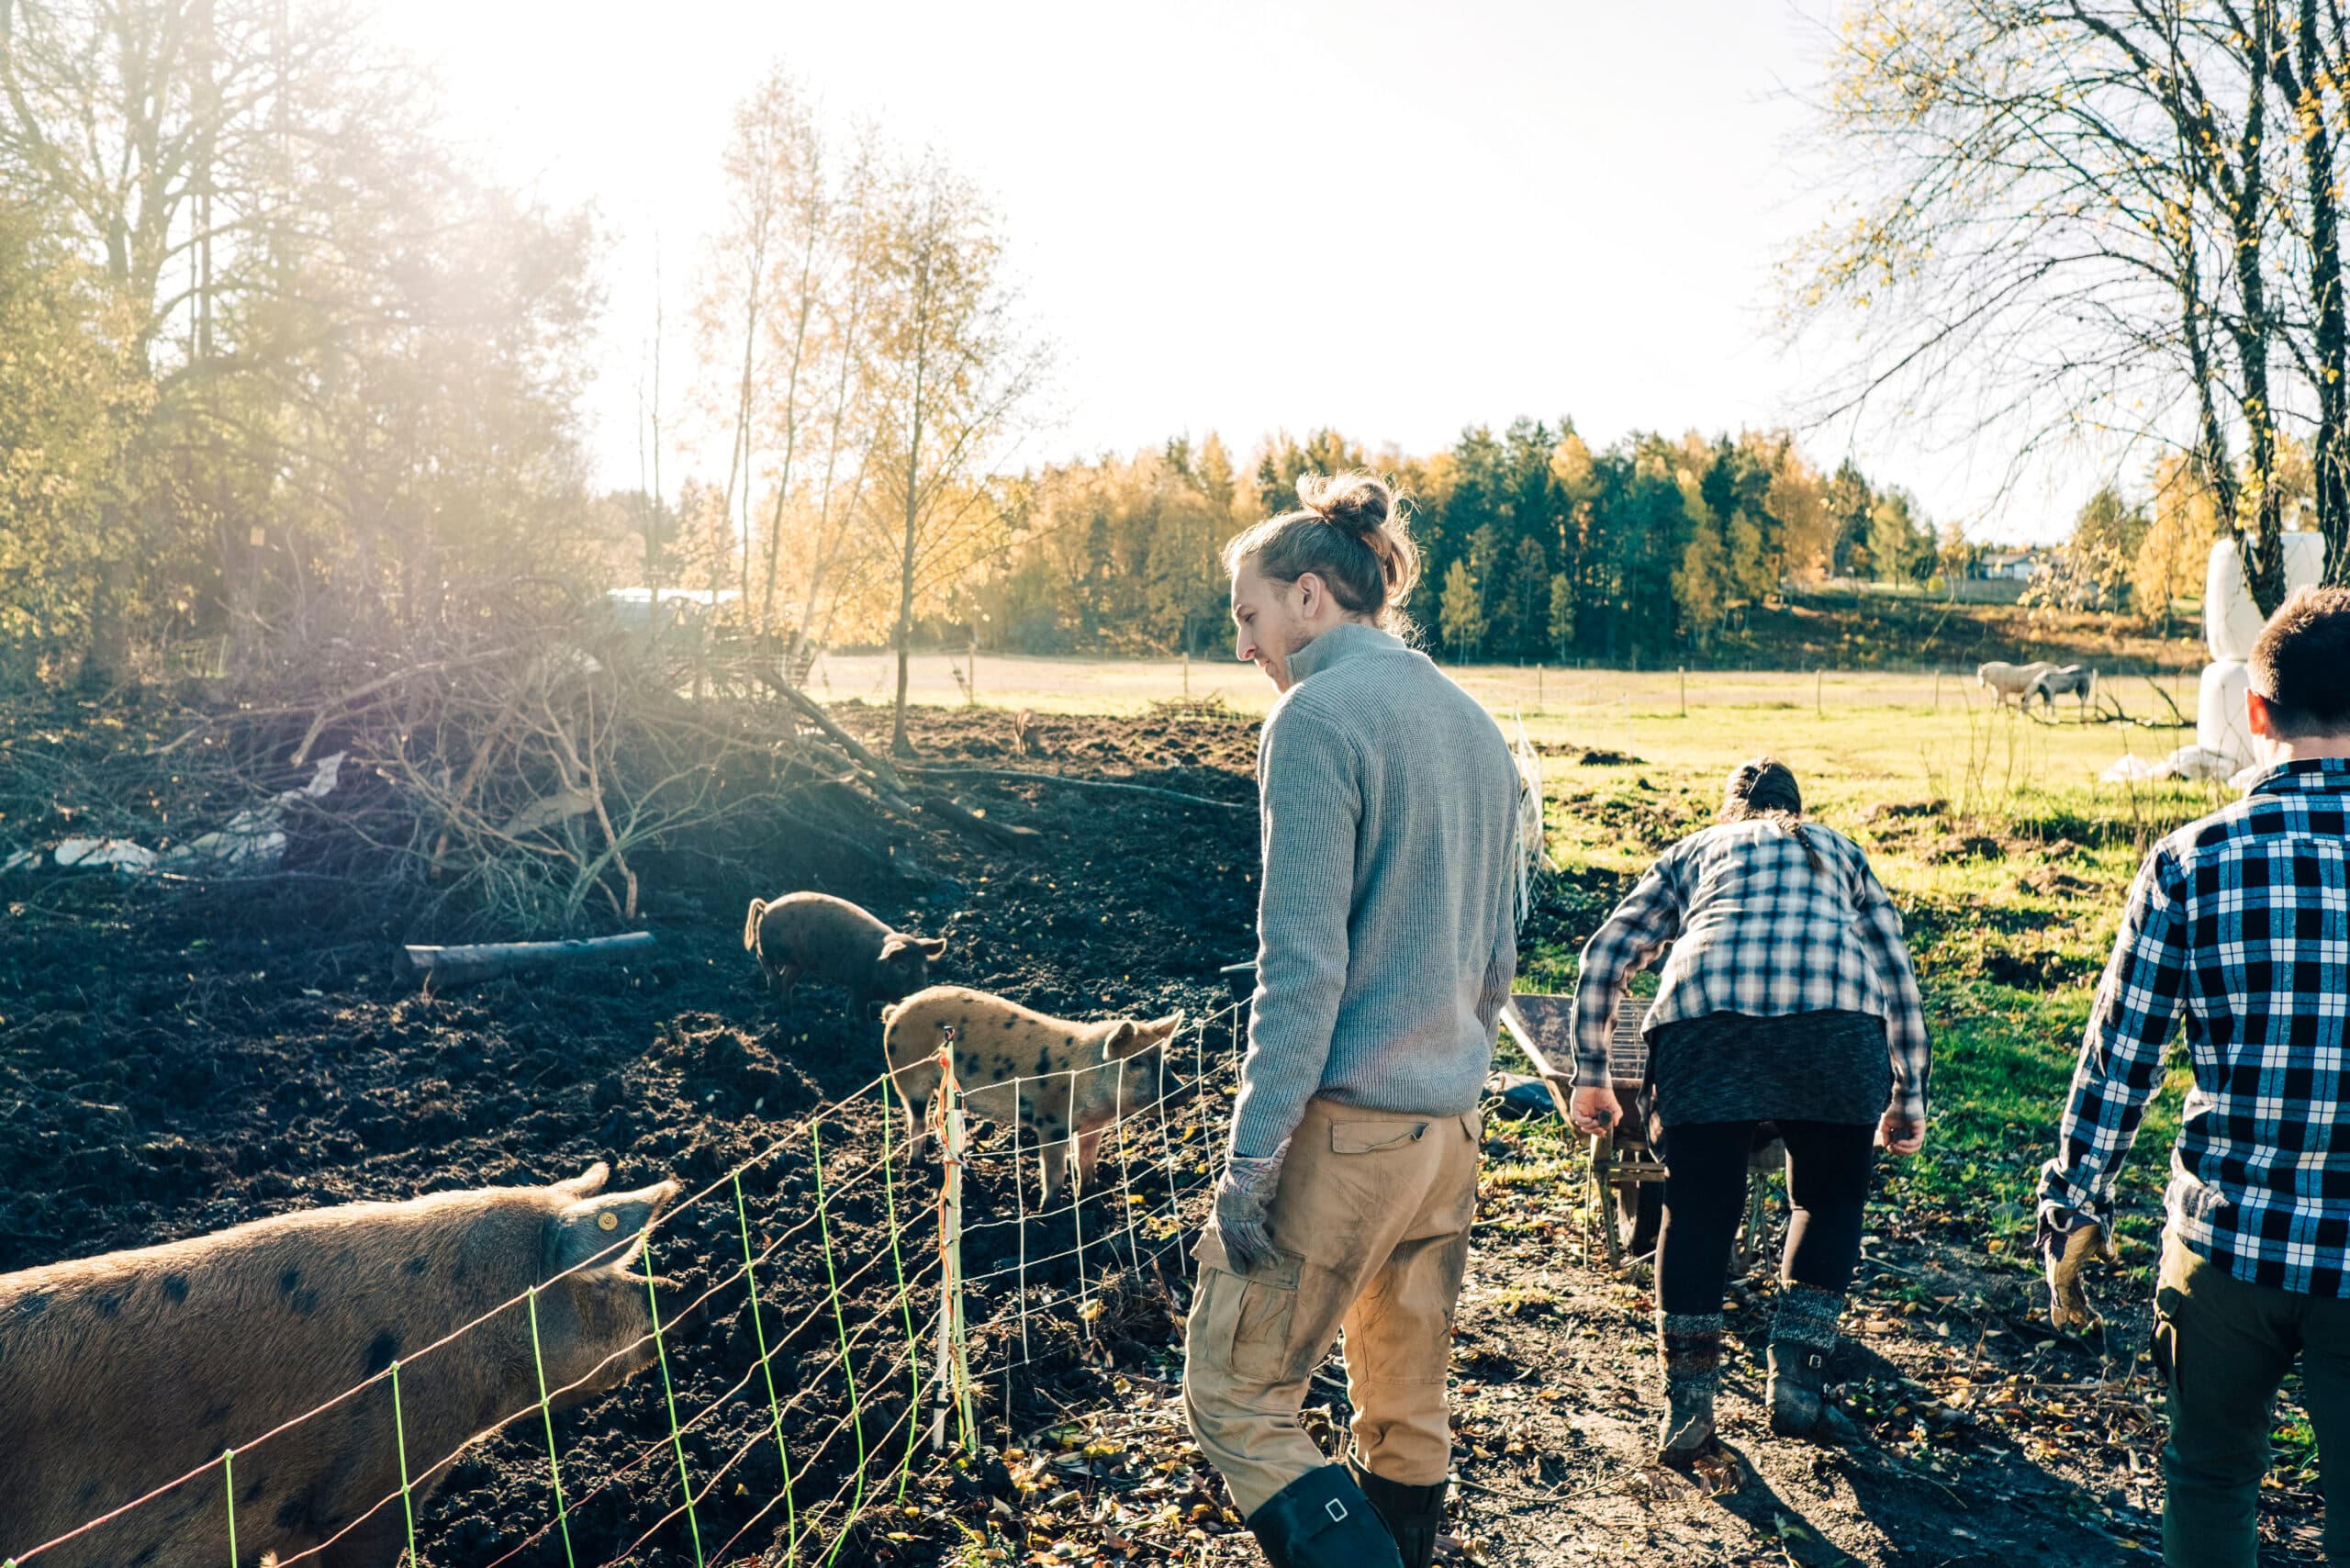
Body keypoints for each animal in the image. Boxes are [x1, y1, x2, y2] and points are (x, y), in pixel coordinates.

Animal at [742, 888, 945, 1011]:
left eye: (925, 967)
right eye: (902, 966)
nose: (921, 991)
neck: (877, 965)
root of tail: (767, 906)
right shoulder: (858, 987)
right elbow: (858, 1015)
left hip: (797, 963)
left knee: (787, 979)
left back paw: (787, 1007)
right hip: (771, 948)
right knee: (763, 958)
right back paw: (775, 989)